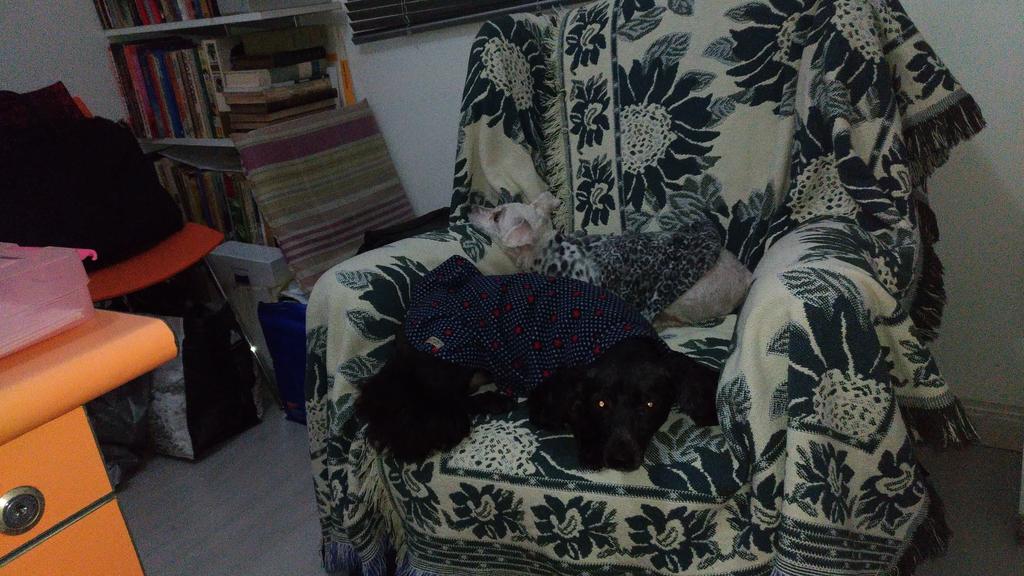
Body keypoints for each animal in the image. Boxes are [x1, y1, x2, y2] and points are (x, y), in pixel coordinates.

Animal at [355, 255, 719, 469]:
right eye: (600, 404)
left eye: (649, 404)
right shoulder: (551, 391)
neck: (617, 339)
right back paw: (493, 400)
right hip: (455, 348)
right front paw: (589, 444)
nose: (617, 459)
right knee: (442, 400)